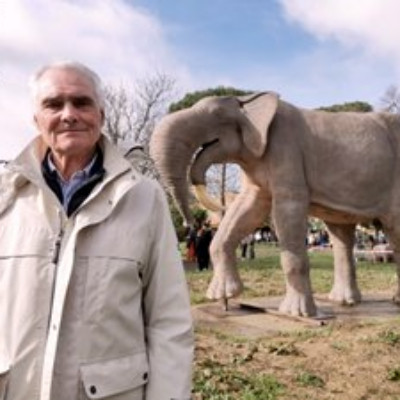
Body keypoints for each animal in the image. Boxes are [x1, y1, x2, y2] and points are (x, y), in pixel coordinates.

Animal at [149, 92, 400, 317]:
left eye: (216, 114)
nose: (190, 225)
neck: (248, 100)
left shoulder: (285, 150)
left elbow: (287, 209)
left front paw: (297, 313)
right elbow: (248, 209)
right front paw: (223, 296)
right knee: (341, 234)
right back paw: (344, 302)